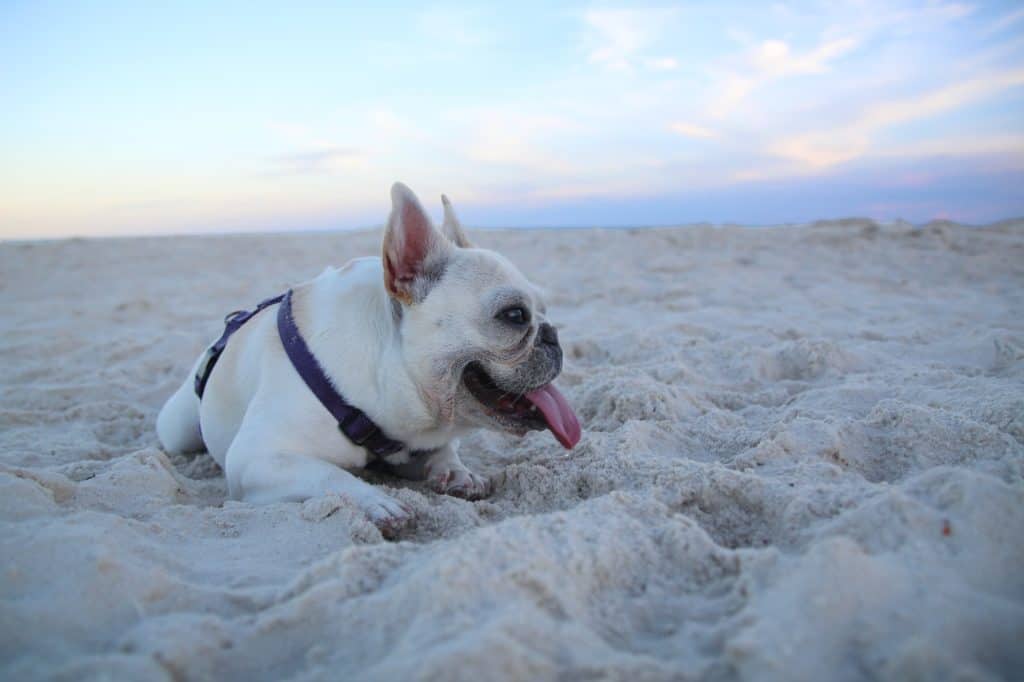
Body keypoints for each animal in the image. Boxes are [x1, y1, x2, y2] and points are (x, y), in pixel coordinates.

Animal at [155, 180, 581, 532]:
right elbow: (329, 475)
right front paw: (374, 501)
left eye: (543, 310)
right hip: (177, 430)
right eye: (515, 315)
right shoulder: (255, 458)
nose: (552, 335)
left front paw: (456, 471)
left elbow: (444, 451)